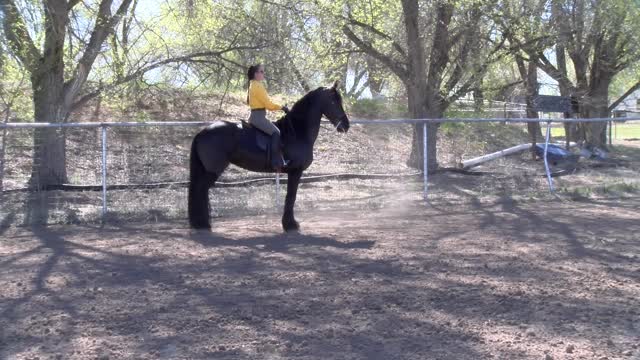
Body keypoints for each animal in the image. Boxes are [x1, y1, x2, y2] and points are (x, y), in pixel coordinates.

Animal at [188, 82, 350, 231]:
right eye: (333, 101)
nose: (346, 125)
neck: (297, 131)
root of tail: (203, 132)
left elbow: (290, 197)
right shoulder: (296, 171)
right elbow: (291, 197)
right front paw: (290, 225)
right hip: (212, 170)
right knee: (200, 190)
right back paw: (202, 224)